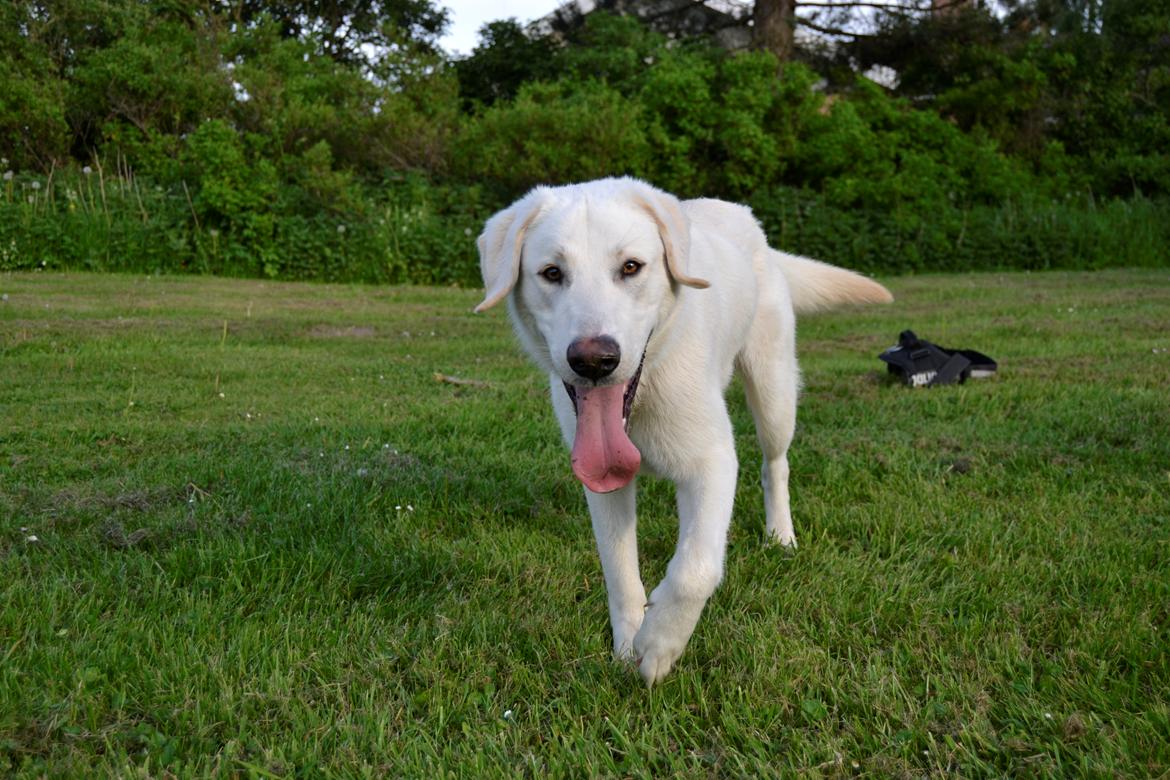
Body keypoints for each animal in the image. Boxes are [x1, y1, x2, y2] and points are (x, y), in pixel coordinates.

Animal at [470, 176, 889, 682]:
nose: (593, 360)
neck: (645, 393)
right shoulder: (603, 485)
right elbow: (620, 570)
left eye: (631, 267)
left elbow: (696, 568)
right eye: (551, 273)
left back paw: (780, 535)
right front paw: (628, 643)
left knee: (775, 465)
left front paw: (659, 644)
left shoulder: (712, 462)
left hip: (773, 392)